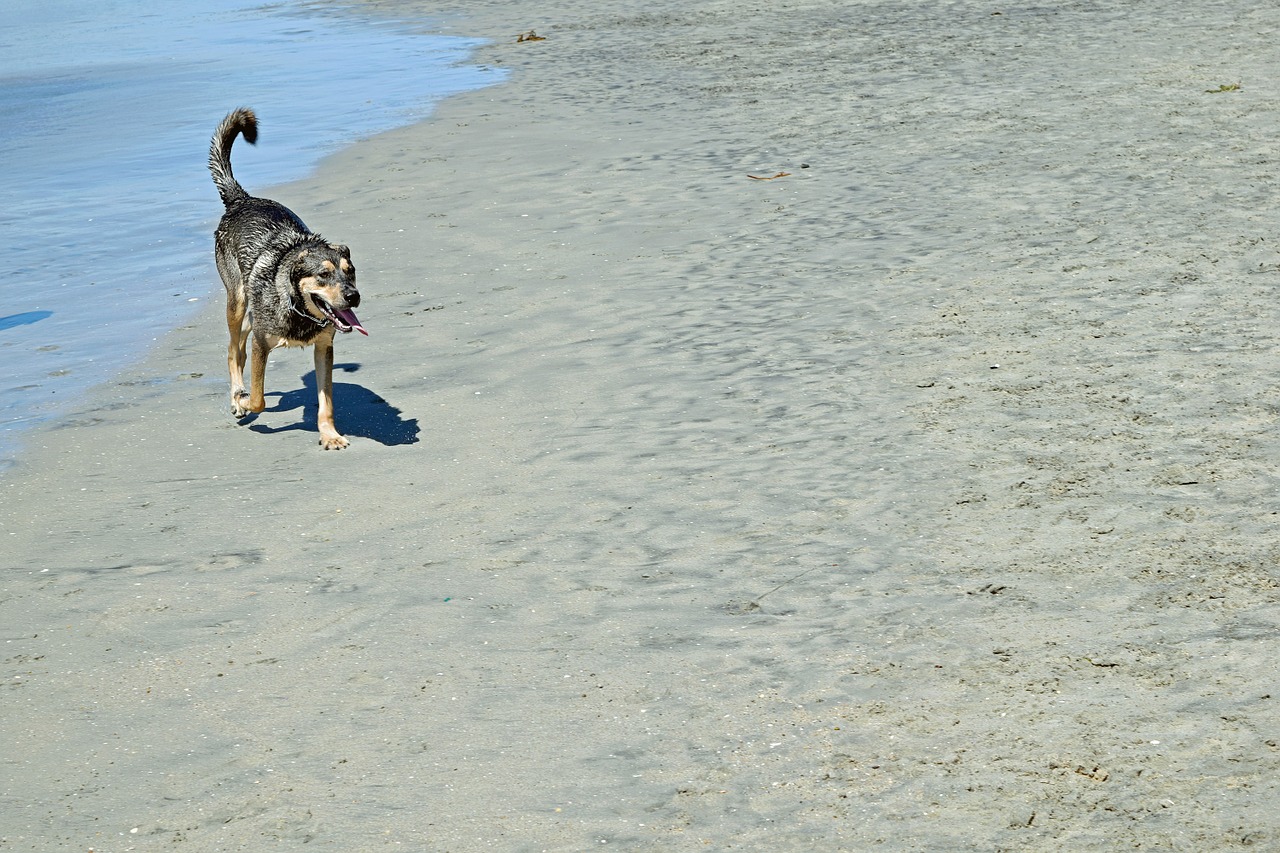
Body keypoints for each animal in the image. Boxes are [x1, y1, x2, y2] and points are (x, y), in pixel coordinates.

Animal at [204, 106, 366, 448]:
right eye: (323, 274)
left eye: (350, 272)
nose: (353, 296)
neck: (298, 308)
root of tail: (241, 199)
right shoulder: (262, 345)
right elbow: (258, 398)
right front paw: (243, 400)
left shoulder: (324, 347)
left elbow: (326, 401)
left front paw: (329, 435)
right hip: (237, 299)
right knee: (233, 348)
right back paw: (236, 393)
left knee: (241, 340)